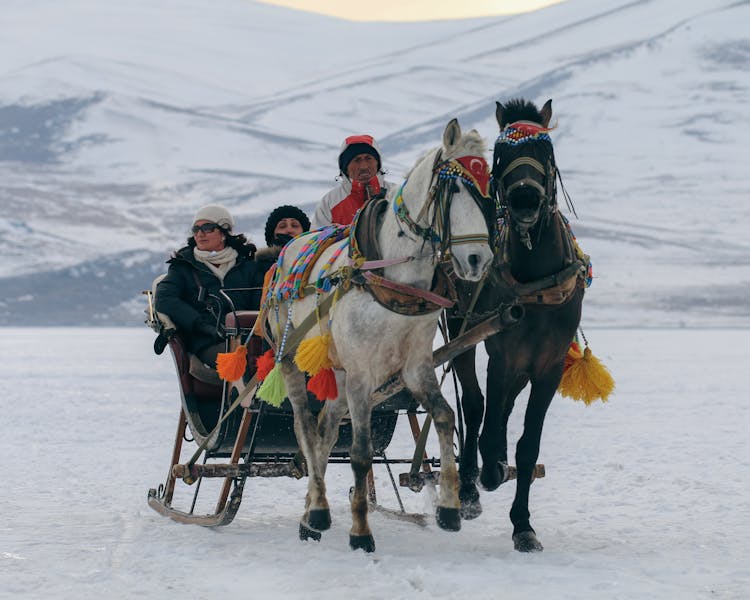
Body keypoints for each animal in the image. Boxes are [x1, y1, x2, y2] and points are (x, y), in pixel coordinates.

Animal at [268, 119, 494, 552]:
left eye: (486, 187)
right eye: (457, 188)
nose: (479, 260)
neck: (394, 279)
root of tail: (287, 250)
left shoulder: (416, 366)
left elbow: (444, 416)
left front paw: (449, 508)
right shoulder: (362, 371)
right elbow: (360, 452)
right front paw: (361, 532)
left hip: (337, 369)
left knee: (326, 426)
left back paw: (312, 513)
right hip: (292, 360)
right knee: (306, 427)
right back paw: (317, 510)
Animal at [450, 98, 592, 552]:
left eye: (545, 149)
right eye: (500, 153)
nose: (526, 198)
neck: (535, 281)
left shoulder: (549, 365)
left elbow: (528, 446)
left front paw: (523, 525)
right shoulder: (502, 353)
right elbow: (489, 416)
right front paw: (490, 472)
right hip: (460, 329)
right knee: (475, 404)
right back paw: (470, 486)